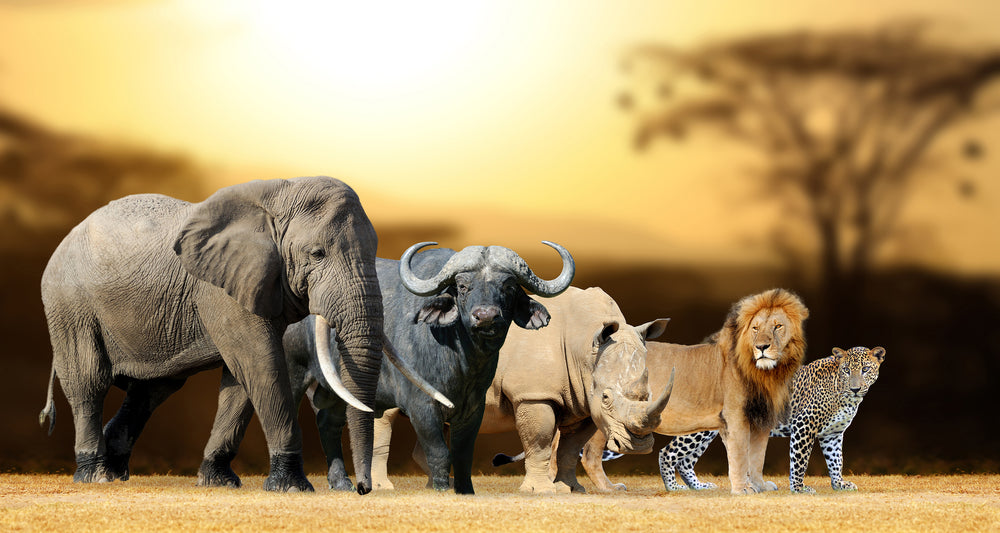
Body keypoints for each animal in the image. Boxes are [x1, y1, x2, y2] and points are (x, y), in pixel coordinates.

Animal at [37, 176, 445, 493]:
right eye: (316, 254)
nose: (362, 490)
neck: (280, 193)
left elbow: (240, 380)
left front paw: (217, 481)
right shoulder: (221, 288)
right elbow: (260, 363)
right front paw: (292, 486)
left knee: (153, 389)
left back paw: (116, 470)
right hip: (69, 303)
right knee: (89, 381)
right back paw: (96, 475)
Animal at [579, 288, 809, 494]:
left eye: (777, 326)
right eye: (755, 328)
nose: (762, 347)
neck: (767, 372)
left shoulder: (761, 419)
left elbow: (757, 458)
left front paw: (759, 486)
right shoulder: (736, 416)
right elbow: (740, 456)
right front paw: (742, 489)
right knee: (589, 453)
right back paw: (607, 488)